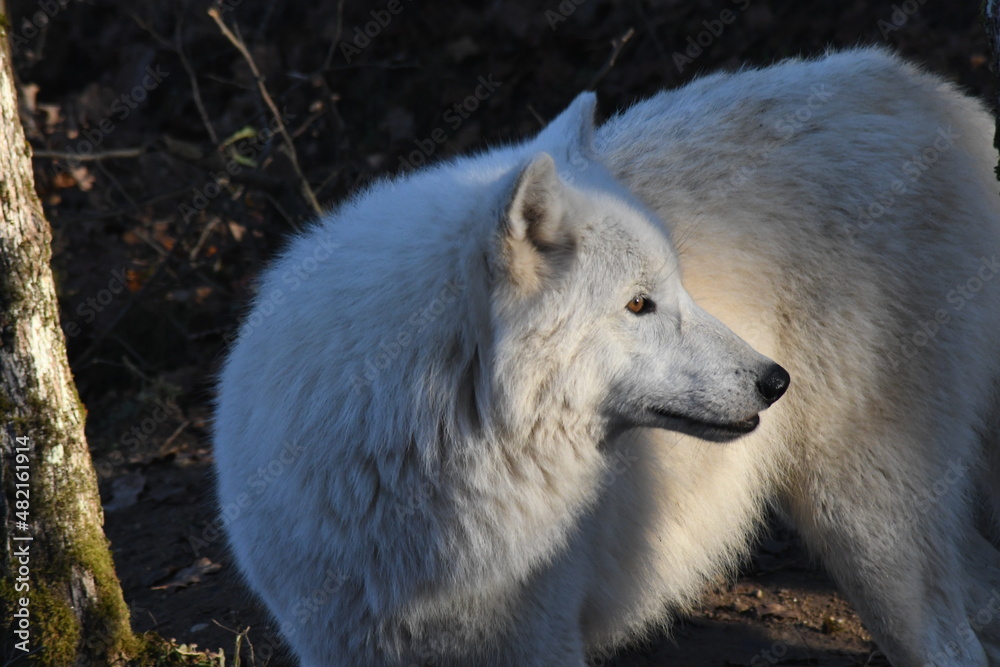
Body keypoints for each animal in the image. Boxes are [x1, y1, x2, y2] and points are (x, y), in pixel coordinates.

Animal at [214, 48, 1000, 666]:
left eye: (676, 288)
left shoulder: (541, 642)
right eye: (639, 304)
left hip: (868, 529)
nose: (777, 380)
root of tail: (932, 93)